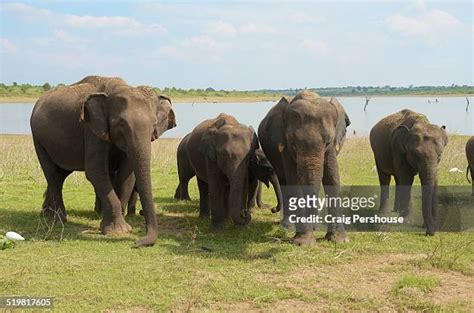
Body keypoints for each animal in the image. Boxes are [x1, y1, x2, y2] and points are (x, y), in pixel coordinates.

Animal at [30, 75, 177, 246]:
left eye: (154, 125)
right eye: (121, 124)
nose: (137, 242)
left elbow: (127, 175)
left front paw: (119, 225)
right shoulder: (91, 130)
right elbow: (95, 171)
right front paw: (118, 230)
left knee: (60, 175)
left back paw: (46, 213)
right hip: (38, 138)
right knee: (52, 174)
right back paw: (58, 218)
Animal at [258, 89, 350, 245]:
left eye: (327, 142)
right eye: (293, 143)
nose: (271, 210)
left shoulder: (332, 147)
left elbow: (332, 179)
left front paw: (339, 240)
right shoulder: (285, 147)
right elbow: (294, 181)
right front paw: (303, 242)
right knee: (284, 182)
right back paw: (287, 226)